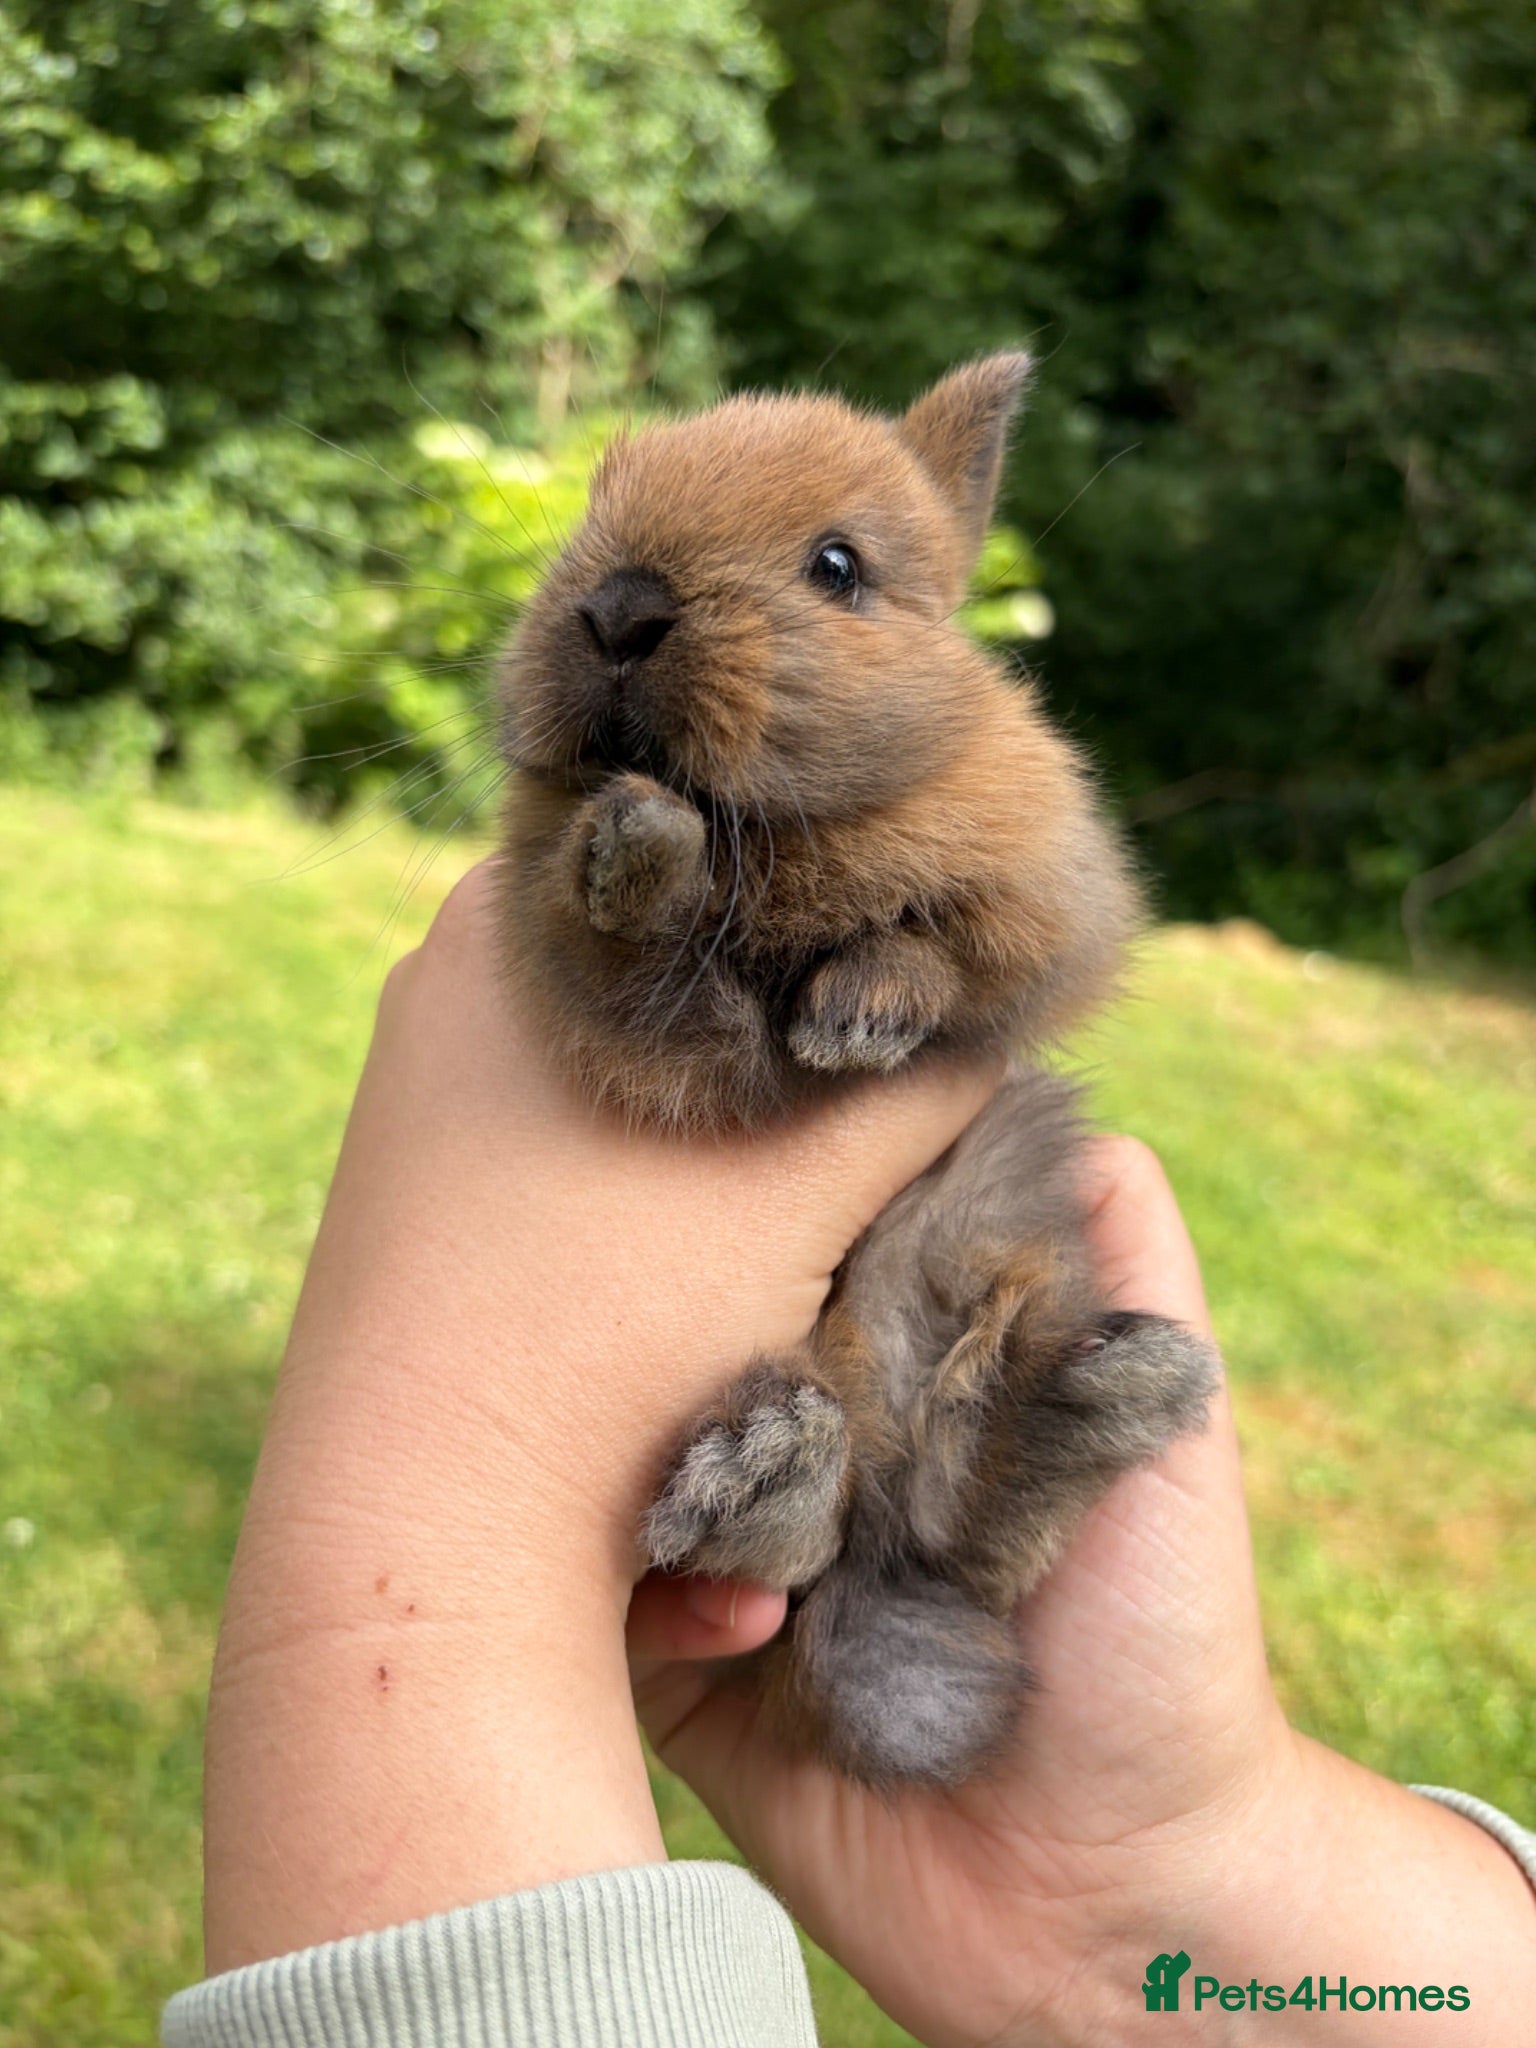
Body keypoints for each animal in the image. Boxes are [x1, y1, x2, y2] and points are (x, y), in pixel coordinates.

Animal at [494, 353, 1217, 1787]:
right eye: (592, 506)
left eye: (838, 566)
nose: (618, 607)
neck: (781, 845)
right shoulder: (656, 1022)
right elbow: (643, 963)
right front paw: (635, 840)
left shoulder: (1038, 896)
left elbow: (951, 951)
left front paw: (865, 1016)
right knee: (814, 1544)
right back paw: (769, 1465)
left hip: (957, 1286)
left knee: (951, 1517)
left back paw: (1111, 1388)